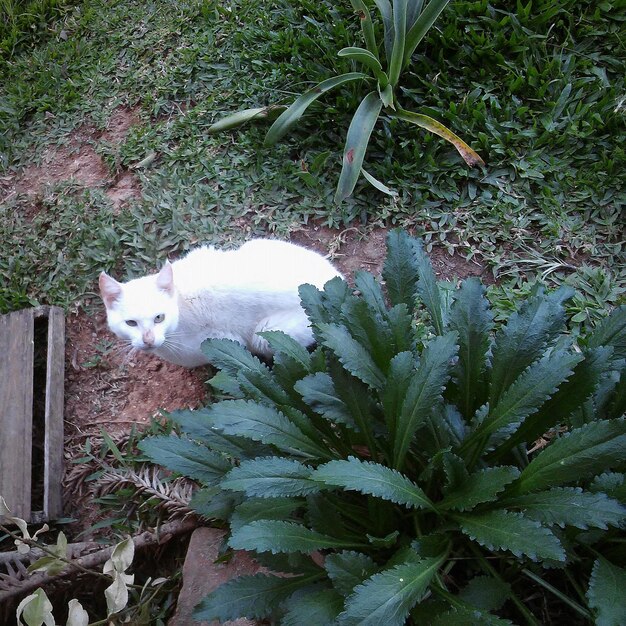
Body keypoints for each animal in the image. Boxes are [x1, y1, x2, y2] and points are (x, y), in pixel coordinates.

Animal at [98, 238, 342, 366]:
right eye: (131, 323)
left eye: (159, 317)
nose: (148, 340)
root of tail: (337, 279)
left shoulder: (220, 340)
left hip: (265, 334)